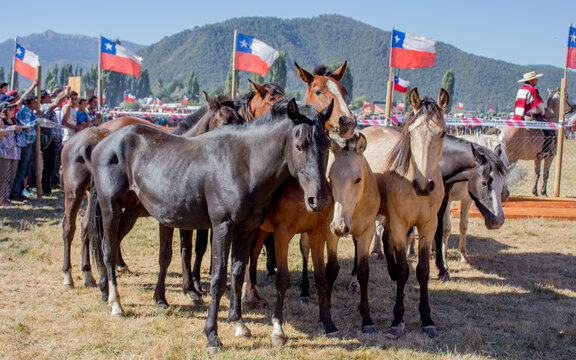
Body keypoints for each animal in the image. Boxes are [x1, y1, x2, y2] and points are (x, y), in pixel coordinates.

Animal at [60, 82, 282, 290]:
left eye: (241, 120)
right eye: (225, 121)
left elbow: (191, 248)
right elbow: (195, 247)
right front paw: (195, 282)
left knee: (93, 231)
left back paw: (99, 272)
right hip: (75, 194)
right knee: (72, 228)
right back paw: (72, 275)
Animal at [90, 99, 332, 354]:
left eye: (326, 144)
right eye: (299, 145)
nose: (319, 200)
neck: (245, 164)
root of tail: (104, 141)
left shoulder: (246, 230)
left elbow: (237, 274)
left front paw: (239, 324)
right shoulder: (222, 227)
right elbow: (218, 279)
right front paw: (212, 335)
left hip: (131, 211)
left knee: (113, 244)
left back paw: (107, 291)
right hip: (111, 208)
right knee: (108, 249)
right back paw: (116, 304)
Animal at [360, 88, 450, 338]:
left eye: (442, 133)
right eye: (410, 132)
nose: (423, 185)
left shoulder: (428, 226)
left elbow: (422, 270)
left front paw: (427, 318)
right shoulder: (400, 223)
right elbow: (403, 270)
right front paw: (398, 318)